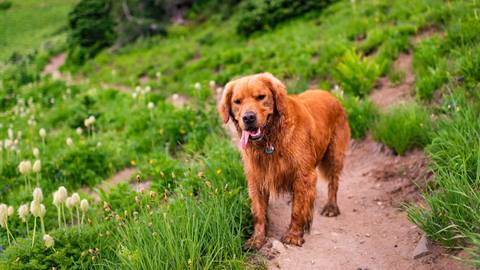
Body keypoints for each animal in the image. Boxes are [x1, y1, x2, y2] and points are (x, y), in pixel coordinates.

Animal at [217, 72, 348, 249]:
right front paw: (257, 238)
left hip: (335, 154)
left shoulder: (303, 174)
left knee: (333, 182)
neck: (271, 139)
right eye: (237, 101)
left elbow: (298, 210)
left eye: (261, 97)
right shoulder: (256, 177)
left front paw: (294, 235)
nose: (248, 117)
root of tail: (329, 93)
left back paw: (331, 207)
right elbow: (258, 213)